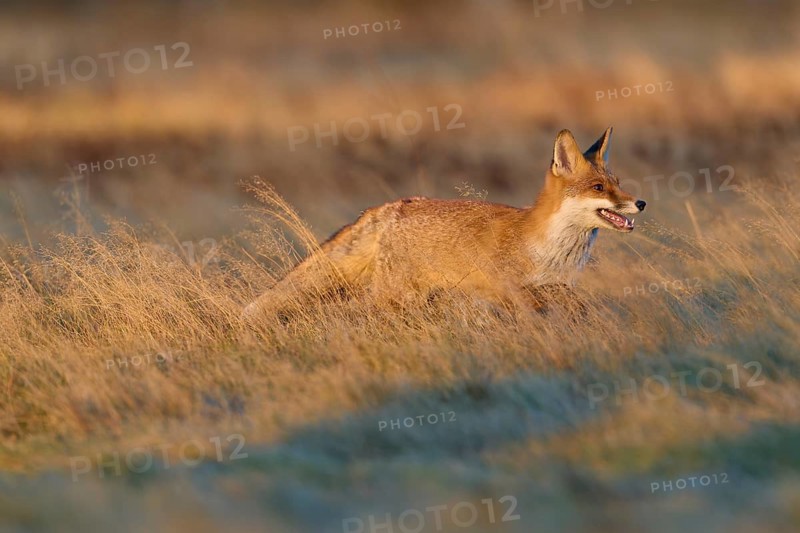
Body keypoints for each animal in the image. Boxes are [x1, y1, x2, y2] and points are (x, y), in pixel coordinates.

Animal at [242, 127, 646, 321]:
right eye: (598, 188)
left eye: (618, 183)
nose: (640, 202)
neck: (549, 248)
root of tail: (392, 207)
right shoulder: (512, 290)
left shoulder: (557, 287)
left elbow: (576, 307)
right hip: (396, 298)